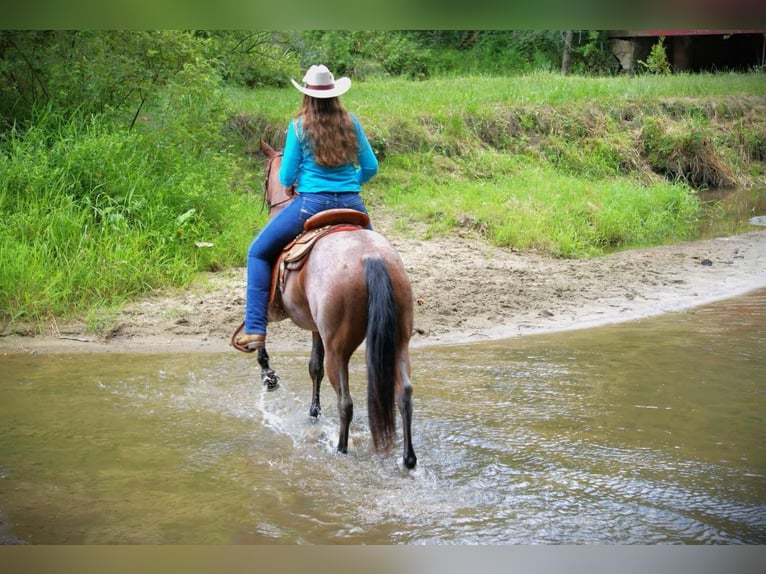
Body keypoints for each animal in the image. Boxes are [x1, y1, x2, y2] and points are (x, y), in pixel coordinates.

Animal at [243, 139, 417, 469]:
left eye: (264, 174)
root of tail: (370, 257)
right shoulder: (315, 327)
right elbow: (314, 366)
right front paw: (313, 411)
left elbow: (261, 334)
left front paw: (268, 374)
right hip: (400, 340)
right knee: (404, 395)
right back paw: (409, 459)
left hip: (339, 350)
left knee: (346, 401)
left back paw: (341, 448)